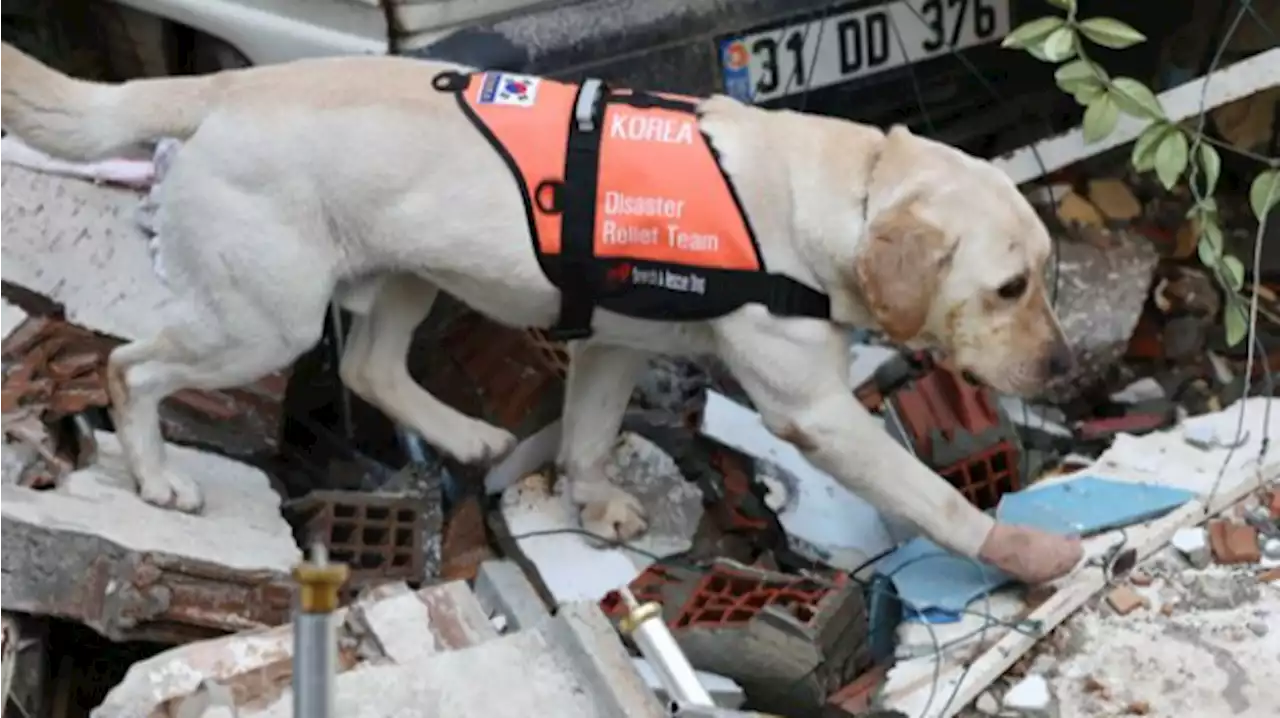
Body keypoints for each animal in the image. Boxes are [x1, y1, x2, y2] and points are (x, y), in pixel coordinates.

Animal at [0, 43, 1080, 583]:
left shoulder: (610, 342)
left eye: (1043, 275)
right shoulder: (812, 411)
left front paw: (589, 500)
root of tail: (221, 87)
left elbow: (591, 436)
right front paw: (1019, 552)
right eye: (1007, 288)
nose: (1062, 371)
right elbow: (931, 496)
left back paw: (469, 437)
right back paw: (156, 478)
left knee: (366, 367)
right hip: (261, 320)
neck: (843, 193)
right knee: (132, 366)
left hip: (403, 274)